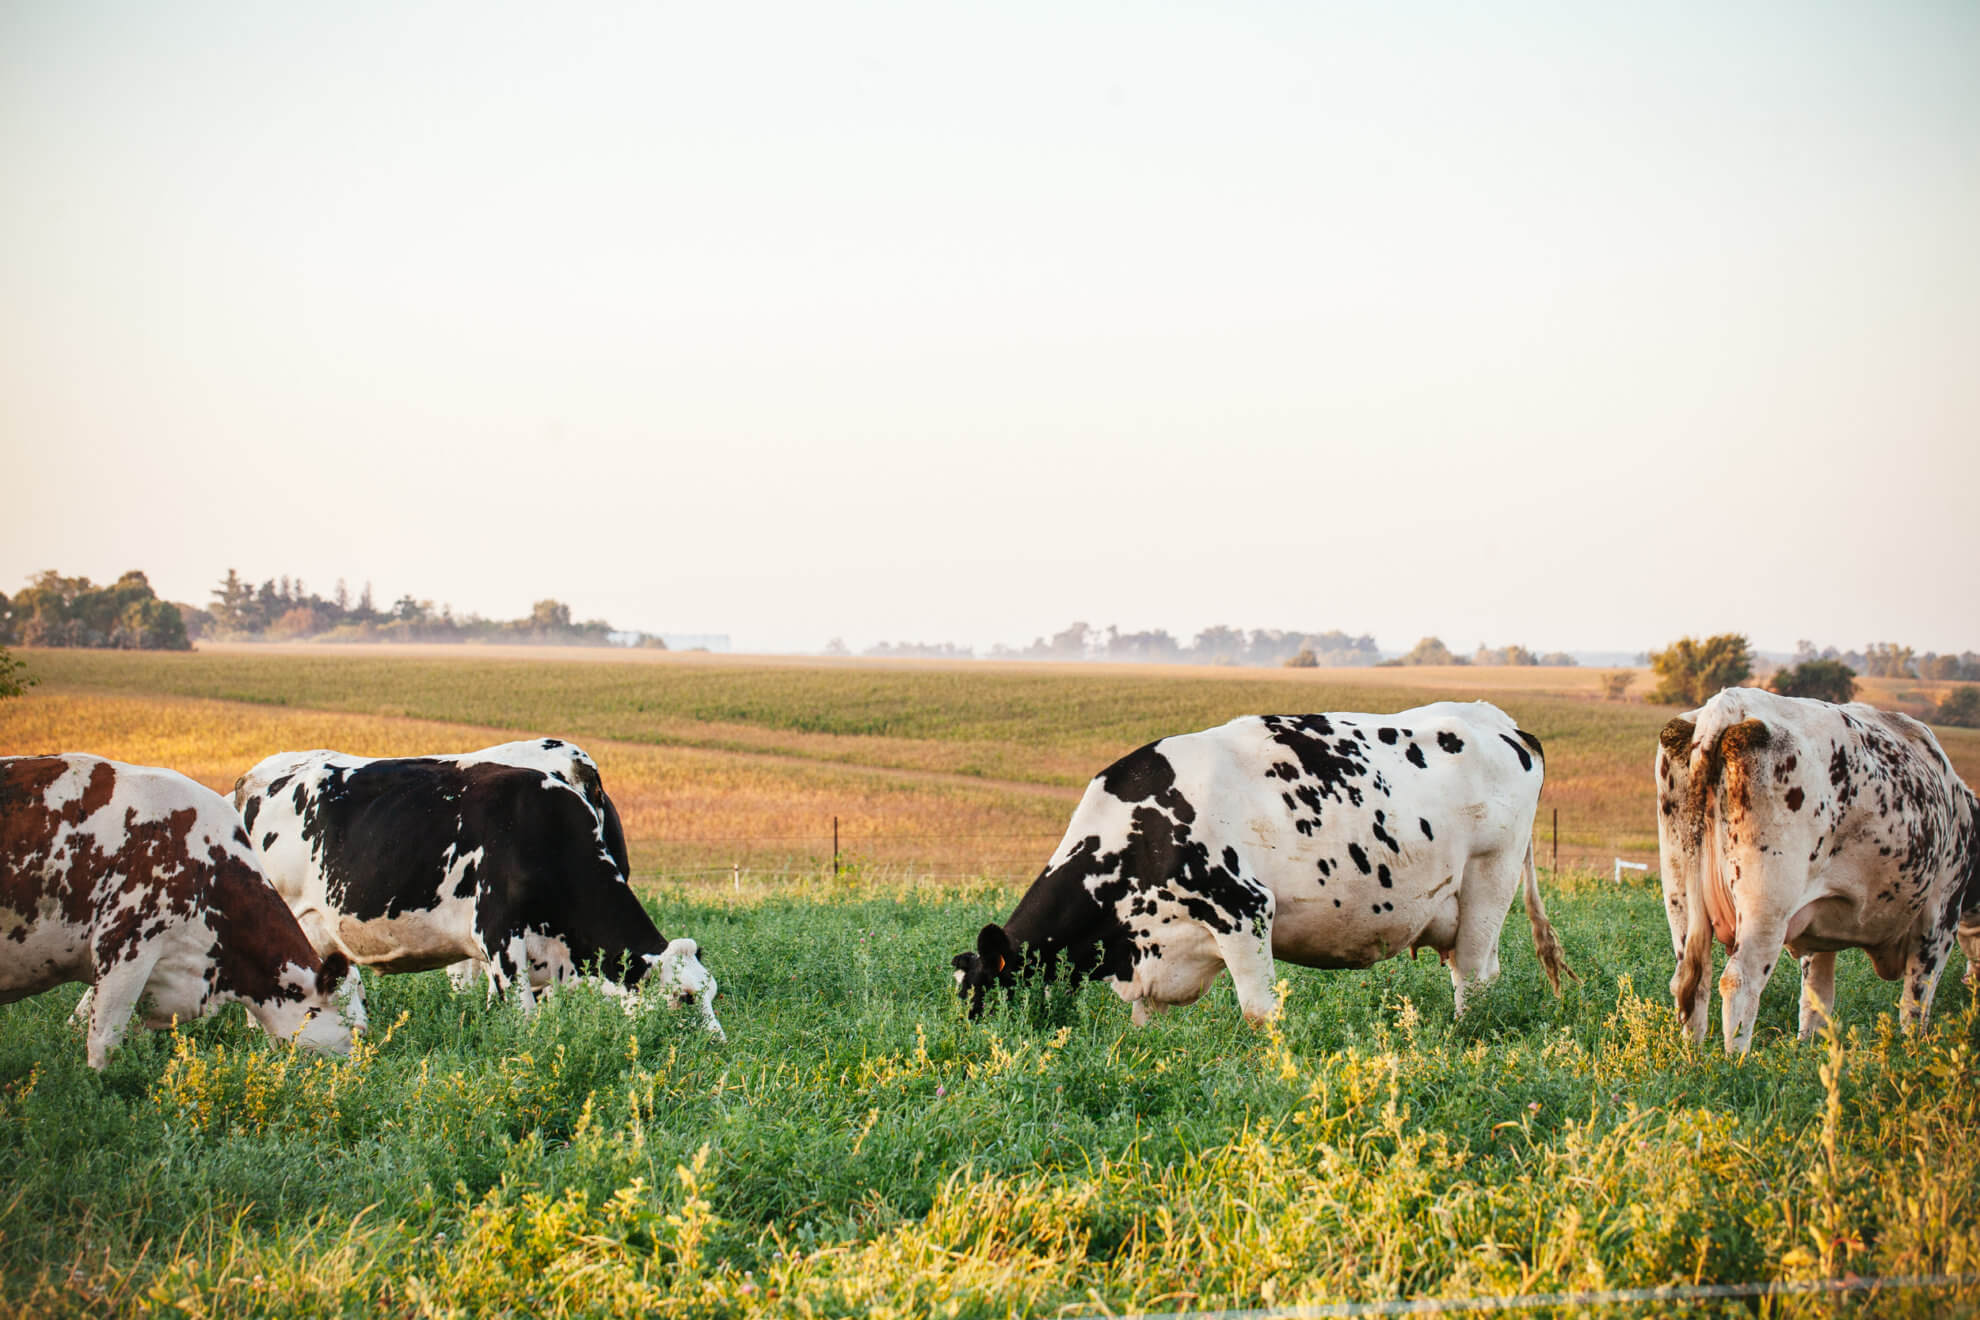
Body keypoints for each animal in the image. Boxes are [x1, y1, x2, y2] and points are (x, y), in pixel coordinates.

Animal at [231, 740, 724, 1037]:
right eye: (684, 999)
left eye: (712, 993)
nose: (715, 1046)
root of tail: (251, 778)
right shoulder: (501, 941)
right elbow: (524, 1026)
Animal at [950, 700, 1568, 1021]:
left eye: (983, 994)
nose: (979, 1051)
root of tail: (1500, 721)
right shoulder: (1150, 952)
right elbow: (1143, 1025)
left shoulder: (1244, 909)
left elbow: (1259, 1013)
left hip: (1490, 878)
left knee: (1474, 977)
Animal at [1655, 692, 1980, 1052]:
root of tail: (1730, 702)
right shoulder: (1941, 915)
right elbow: (1917, 1000)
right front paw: (1914, 1051)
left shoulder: (1820, 931)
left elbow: (1816, 999)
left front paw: (1808, 1049)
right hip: (1766, 905)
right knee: (1739, 983)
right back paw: (1735, 1060)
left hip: (1680, 894)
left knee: (1693, 983)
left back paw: (1693, 1056)